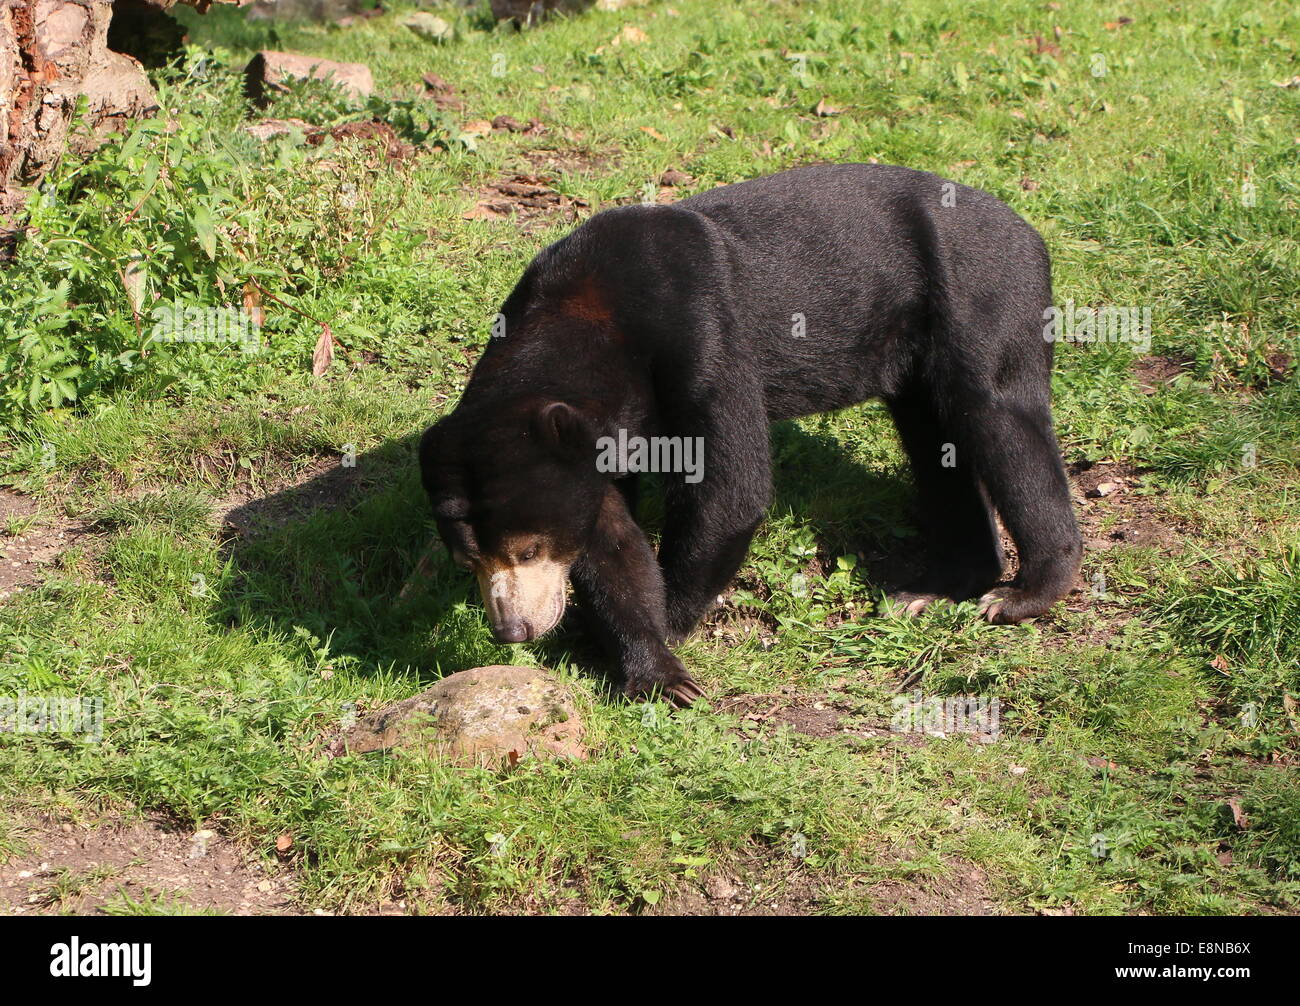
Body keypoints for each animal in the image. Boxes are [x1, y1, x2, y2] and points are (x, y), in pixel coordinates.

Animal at [420, 163, 1082, 706]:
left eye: (529, 549)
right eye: (466, 559)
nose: (511, 629)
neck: (588, 315)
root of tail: (1029, 230)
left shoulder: (700, 335)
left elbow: (730, 483)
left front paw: (664, 623)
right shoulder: (597, 441)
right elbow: (608, 536)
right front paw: (652, 669)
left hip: (981, 293)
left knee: (1002, 420)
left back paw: (1021, 595)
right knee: (935, 444)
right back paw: (932, 590)